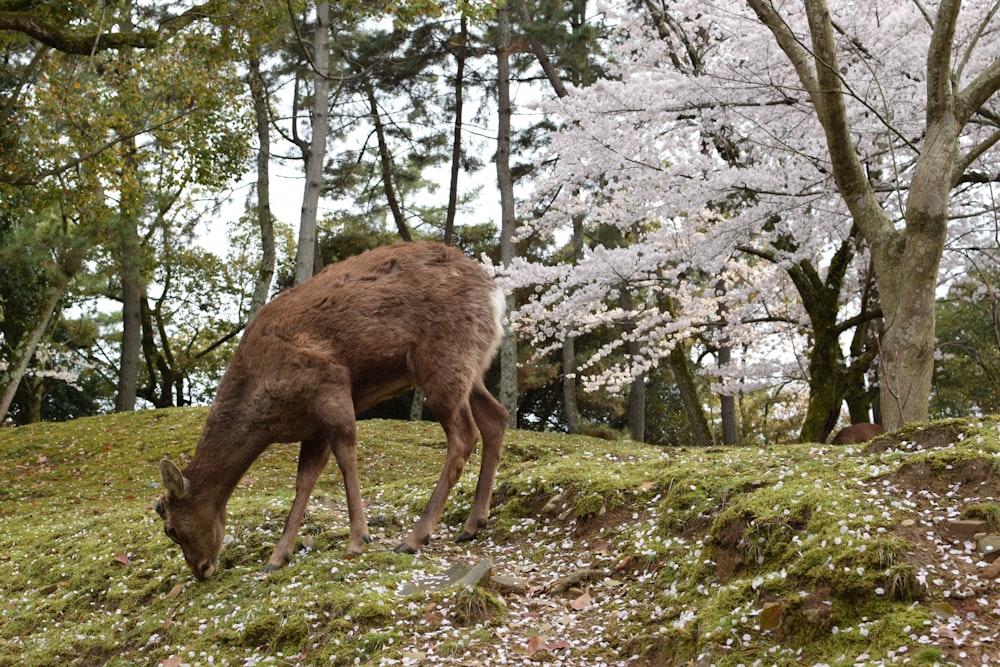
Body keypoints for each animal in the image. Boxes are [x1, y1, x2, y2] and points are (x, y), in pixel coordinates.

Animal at [160, 241, 512, 580]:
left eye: (171, 530)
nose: (202, 570)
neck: (265, 415)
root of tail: (495, 295)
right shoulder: (312, 426)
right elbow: (304, 480)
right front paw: (277, 558)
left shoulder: (327, 381)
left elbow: (345, 454)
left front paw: (358, 539)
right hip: (469, 365)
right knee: (496, 416)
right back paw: (472, 525)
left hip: (443, 359)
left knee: (464, 435)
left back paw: (415, 538)